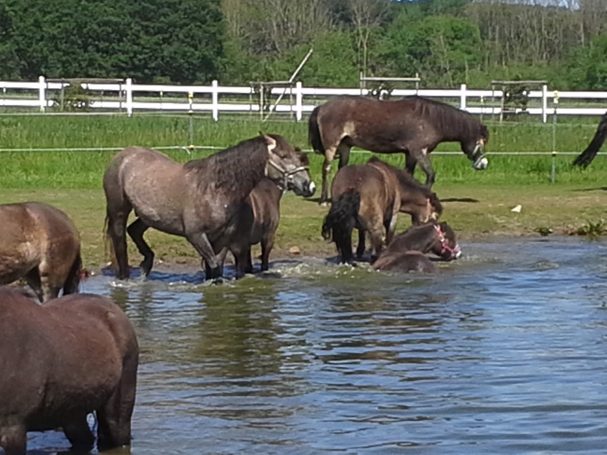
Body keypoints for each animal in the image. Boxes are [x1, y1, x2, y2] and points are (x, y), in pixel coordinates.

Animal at [104, 133, 316, 282]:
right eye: (283, 155)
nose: (309, 186)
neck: (214, 190)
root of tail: (123, 155)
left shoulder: (222, 239)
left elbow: (216, 269)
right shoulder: (196, 236)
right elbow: (213, 267)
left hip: (149, 217)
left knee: (134, 230)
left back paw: (146, 264)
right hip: (119, 210)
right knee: (120, 243)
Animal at [308, 95, 490, 203]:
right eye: (480, 141)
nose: (484, 164)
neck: (432, 119)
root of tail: (321, 107)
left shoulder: (410, 154)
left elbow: (408, 174)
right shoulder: (418, 151)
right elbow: (430, 175)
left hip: (345, 146)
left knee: (341, 169)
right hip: (332, 146)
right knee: (326, 169)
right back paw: (323, 200)